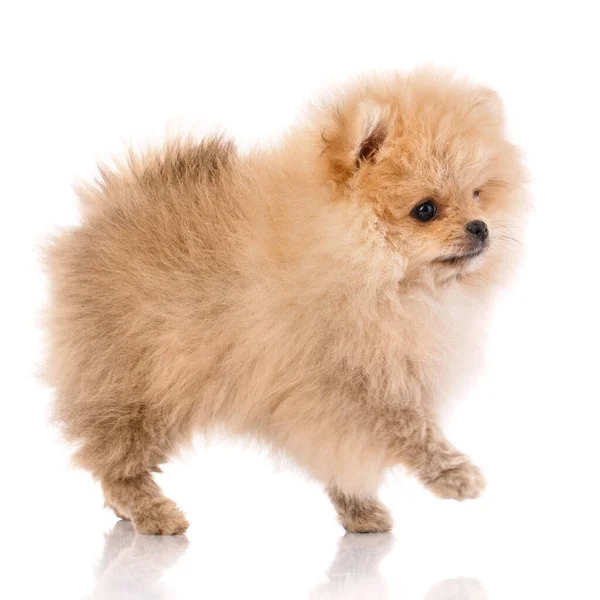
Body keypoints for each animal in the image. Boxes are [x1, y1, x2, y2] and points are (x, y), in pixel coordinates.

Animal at [44, 69, 524, 536]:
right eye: (425, 210)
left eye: (477, 195)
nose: (480, 227)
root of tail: (104, 212)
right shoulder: (353, 381)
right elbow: (410, 429)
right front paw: (455, 475)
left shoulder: (359, 382)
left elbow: (343, 453)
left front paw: (359, 510)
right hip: (141, 387)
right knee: (115, 461)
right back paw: (151, 513)